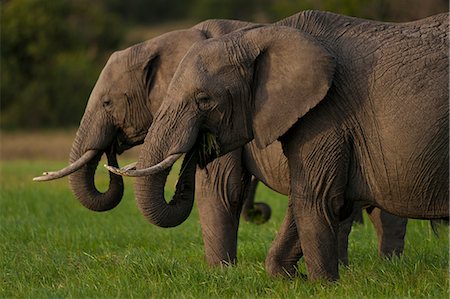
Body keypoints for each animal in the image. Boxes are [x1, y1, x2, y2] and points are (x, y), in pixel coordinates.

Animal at [110, 9, 450, 282]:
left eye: (204, 100)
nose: (199, 147)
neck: (261, 36)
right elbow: (308, 201)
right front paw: (288, 277)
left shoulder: (327, 113)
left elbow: (312, 198)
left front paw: (323, 285)